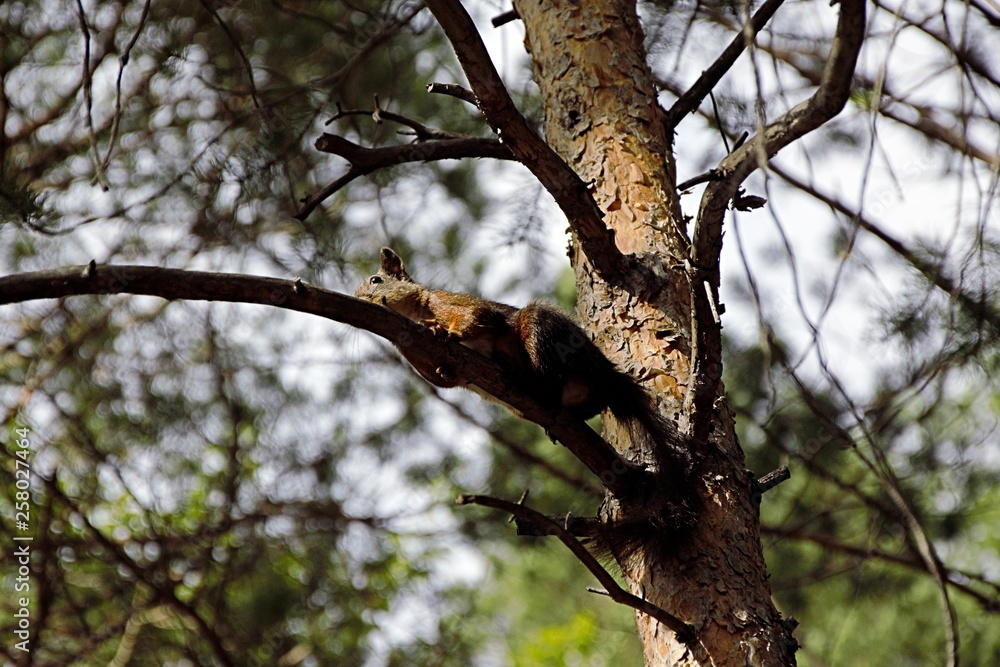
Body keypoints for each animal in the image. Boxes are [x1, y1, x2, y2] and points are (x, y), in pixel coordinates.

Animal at [352, 245, 680, 460]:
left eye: (376, 280)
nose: (360, 300)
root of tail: (606, 374)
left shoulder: (445, 302)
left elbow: (478, 316)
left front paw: (447, 333)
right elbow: (445, 380)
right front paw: (444, 367)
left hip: (544, 331)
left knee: (549, 380)